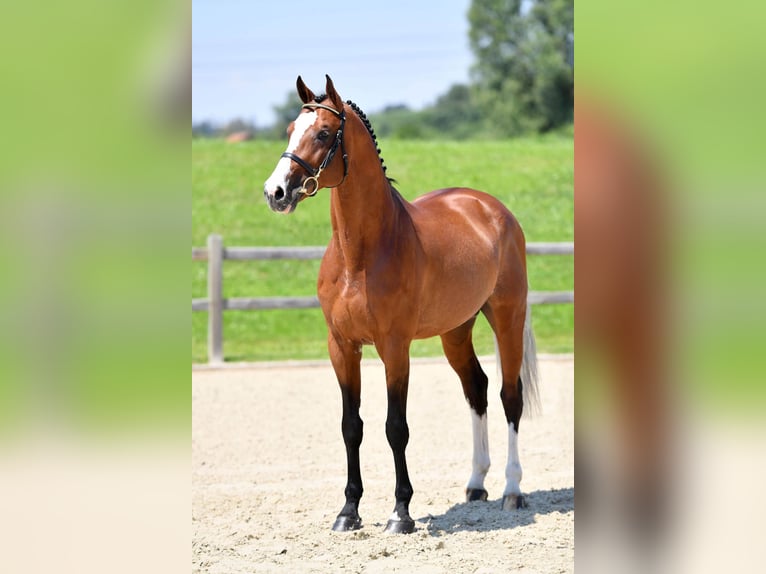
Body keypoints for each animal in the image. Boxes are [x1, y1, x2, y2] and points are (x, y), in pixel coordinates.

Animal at [264, 75, 540, 536]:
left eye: (323, 133)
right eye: (289, 130)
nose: (276, 192)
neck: (360, 255)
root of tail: (490, 208)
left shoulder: (395, 348)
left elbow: (396, 427)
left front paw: (400, 513)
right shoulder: (342, 347)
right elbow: (351, 427)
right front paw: (348, 512)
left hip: (507, 317)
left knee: (509, 396)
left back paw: (512, 490)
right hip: (456, 331)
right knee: (477, 389)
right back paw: (476, 484)